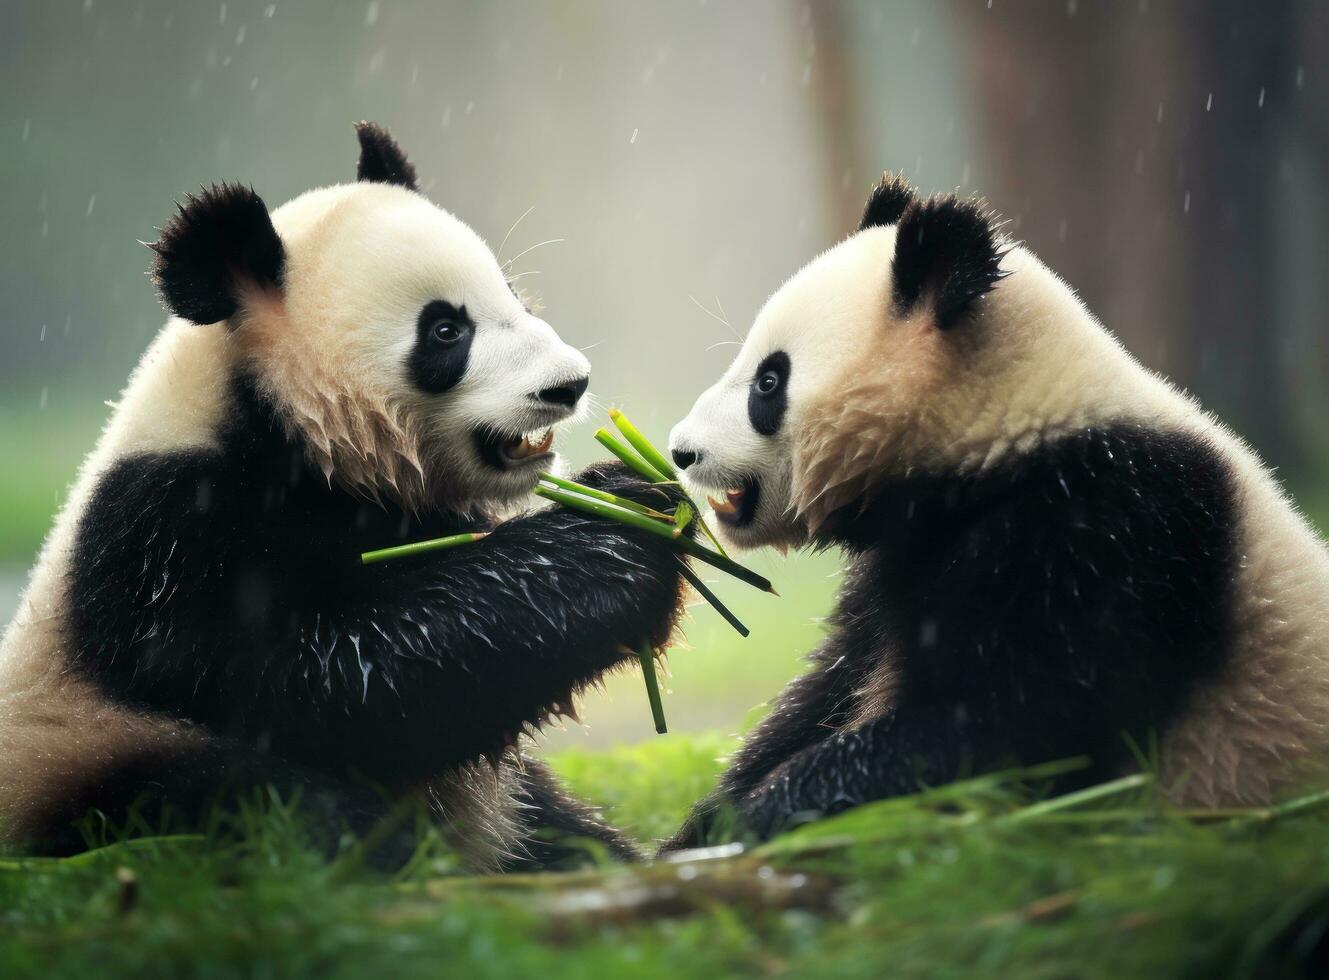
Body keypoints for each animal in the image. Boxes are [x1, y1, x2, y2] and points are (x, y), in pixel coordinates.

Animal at [5, 124, 696, 872]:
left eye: (516, 297)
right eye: (445, 331)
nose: (568, 385)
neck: (274, 420)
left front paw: (638, 497)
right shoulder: (170, 540)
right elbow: (325, 686)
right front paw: (609, 547)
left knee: (552, 827)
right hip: (92, 758)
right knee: (244, 807)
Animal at [661, 171, 1329, 845]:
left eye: (769, 383)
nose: (680, 451)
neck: (1001, 427)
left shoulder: (1105, 530)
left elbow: (1012, 729)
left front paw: (763, 817)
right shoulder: (900, 569)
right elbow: (826, 692)